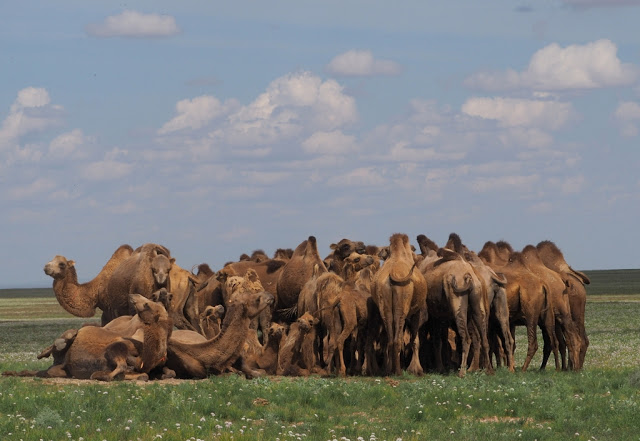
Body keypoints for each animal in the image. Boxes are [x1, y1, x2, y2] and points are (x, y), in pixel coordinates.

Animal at [370, 234, 424, 374]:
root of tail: (391, 274)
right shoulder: (417, 311)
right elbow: (415, 340)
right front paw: (416, 370)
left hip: (385, 302)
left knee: (390, 338)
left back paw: (390, 370)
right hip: (403, 299)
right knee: (399, 336)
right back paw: (398, 371)